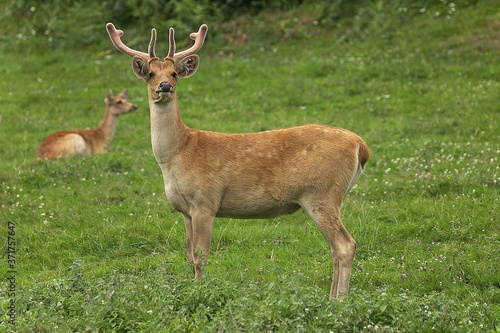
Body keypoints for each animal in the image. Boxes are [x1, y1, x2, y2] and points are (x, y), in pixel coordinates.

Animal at [106, 23, 372, 298]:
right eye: (150, 74)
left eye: (174, 73)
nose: (166, 86)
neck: (178, 153)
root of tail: (360, 146)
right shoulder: (185, 210)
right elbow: (189, 255)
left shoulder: (206, 201)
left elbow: (201, 256)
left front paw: (200, 291)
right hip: (329, 196)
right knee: (335, 247)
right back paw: (332, 296)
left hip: (321, 193)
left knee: (345, 244)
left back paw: (339, 299)